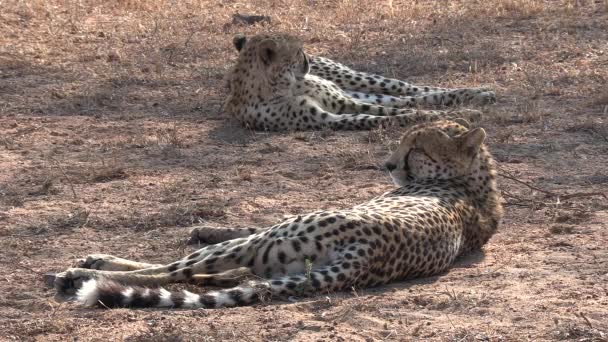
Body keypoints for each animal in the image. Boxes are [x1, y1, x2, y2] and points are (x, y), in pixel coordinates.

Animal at [54, 119, 504, 310]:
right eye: (404, 142)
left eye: (416, 148)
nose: (388, 165)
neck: (474, 181)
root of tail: (364, 257)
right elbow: (240, 223)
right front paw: (206, 226)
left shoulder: (273, 228)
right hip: (275, 258)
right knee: (219, 276)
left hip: (266, 244)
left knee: (168, 272)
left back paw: (83, 270)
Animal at [223, 32, 494, 131]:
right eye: (297, 51)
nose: (307, 59)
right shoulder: (333, 114)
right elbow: (384, 114)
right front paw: (454, 116)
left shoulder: (341, 101)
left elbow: (397, 107)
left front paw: (460, 113)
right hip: (349, 92)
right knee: (406, 97)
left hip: (351, 81)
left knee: (407, 88)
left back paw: (477, 93)